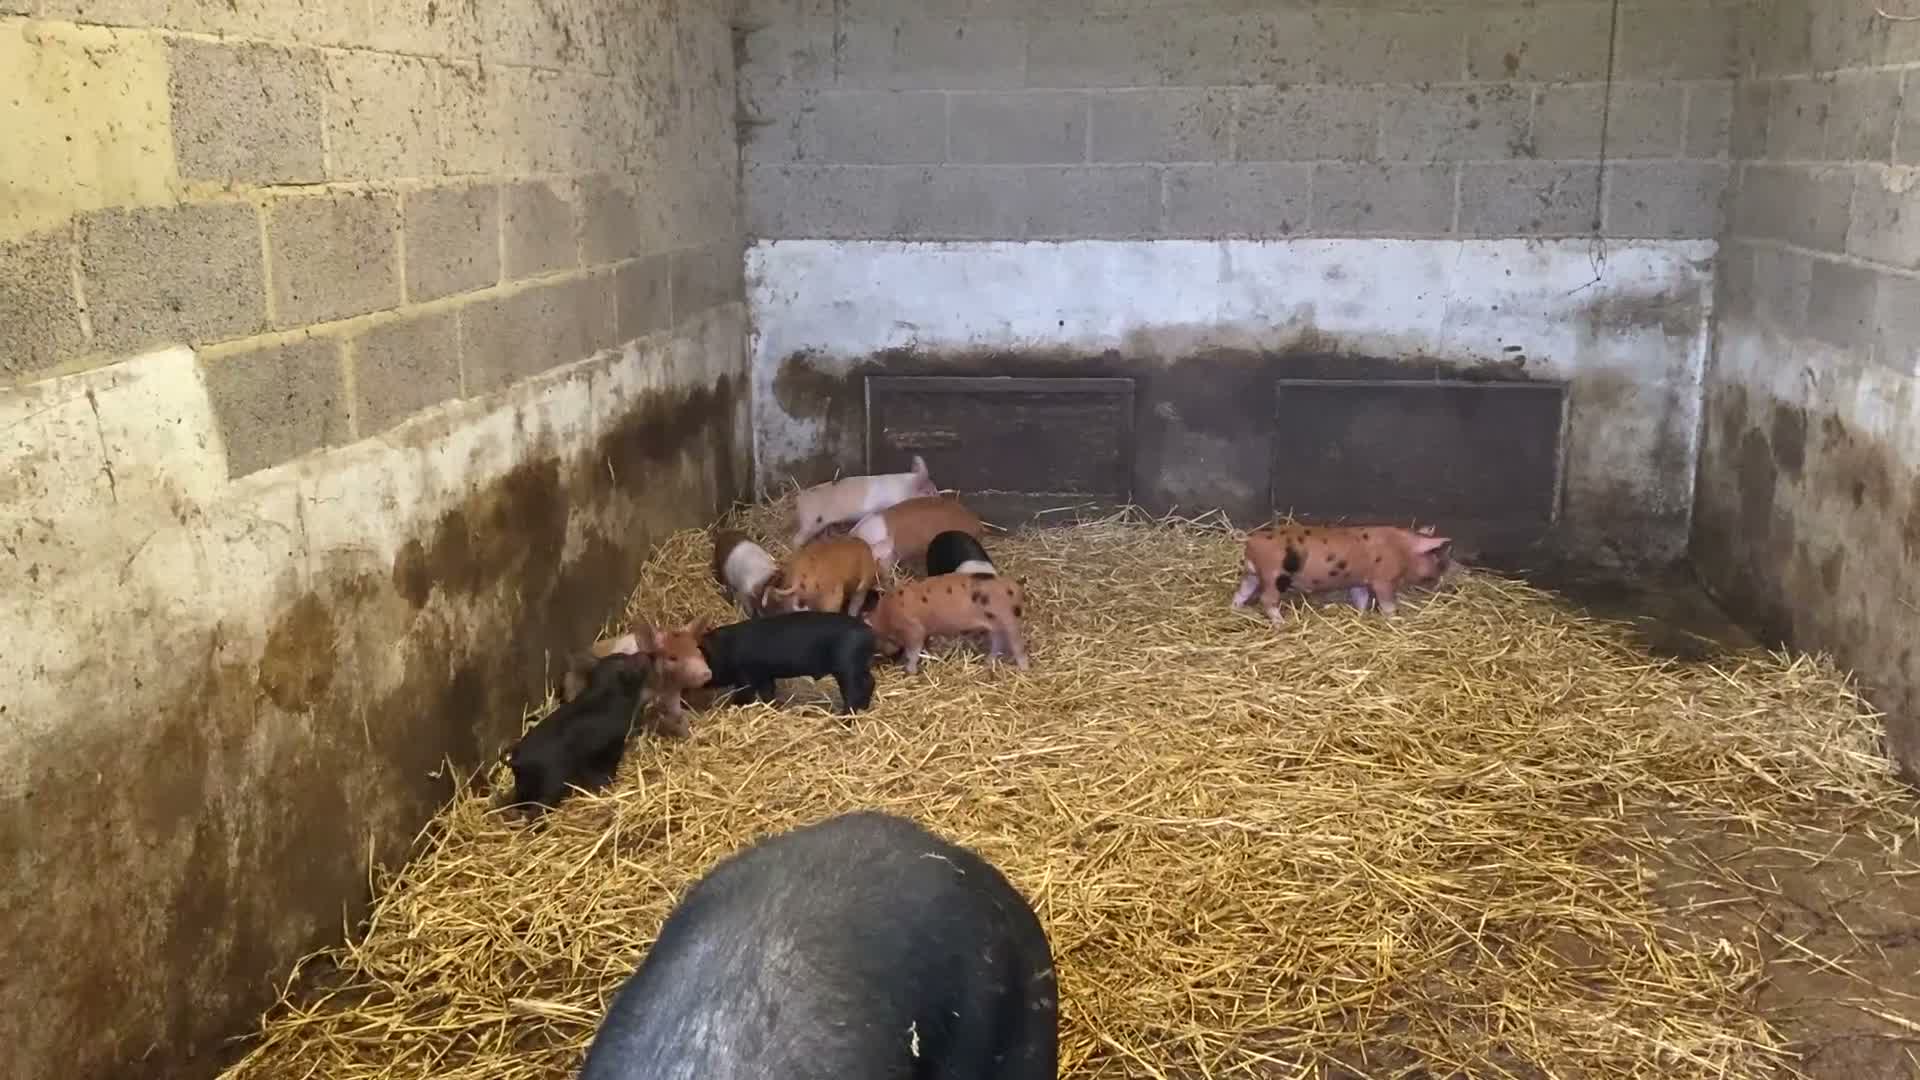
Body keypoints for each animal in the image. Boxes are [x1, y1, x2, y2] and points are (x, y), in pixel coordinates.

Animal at [500, 651, 651, 815]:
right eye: (631, 662)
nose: (647, 655)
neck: (607, 691)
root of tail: (517, 760)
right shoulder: (612, 745)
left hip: (523, 785)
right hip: (551, 783)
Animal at [650, 611, 878, 720]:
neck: (724, 651)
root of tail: (869, 633)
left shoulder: (746, 678)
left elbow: (744, 696)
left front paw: (735, 707)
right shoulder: (764, 675)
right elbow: (769, 693)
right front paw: (775, 708)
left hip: (847, 667)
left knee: (853, 691)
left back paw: (844, 718)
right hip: (859, 666)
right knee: (870, 682)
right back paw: (864, 708)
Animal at [791, 456, 938, 547]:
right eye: (929, 492)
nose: (938, 497)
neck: (905, 488)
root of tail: (800, 499)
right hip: (810, 522)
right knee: (797, 538)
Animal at [866, 572, 1029, 675]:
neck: (887, 616)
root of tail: (1015, 587)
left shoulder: (914, 630)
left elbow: (913, 652)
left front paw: (910, 671)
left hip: (1009, 619)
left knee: (1017, 644)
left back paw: (1023, 669)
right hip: (995, 624)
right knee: (998, 641)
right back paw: (987, 662)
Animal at [1233, 523, 1454, 626]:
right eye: (1436, 557)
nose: (1440, 580)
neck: (1401, 549)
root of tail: (1251, 543)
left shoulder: (1359, 581)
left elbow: (1361, 599)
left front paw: (1361, 616)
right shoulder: (1383, 580)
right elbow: (1387, 603)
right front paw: (1394, 619)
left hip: (1253, 574)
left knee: (1241, 593)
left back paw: (1237, 610)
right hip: (1274, 576)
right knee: (1267, 599)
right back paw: (1282, 624)